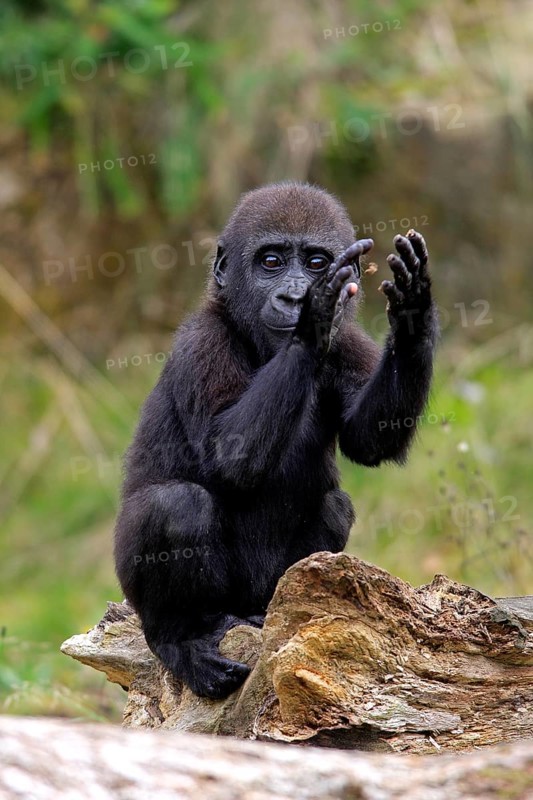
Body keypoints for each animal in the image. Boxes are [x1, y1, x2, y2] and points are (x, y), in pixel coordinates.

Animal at [114, 181, 438, 699]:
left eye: (315, 262)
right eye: (271, 262)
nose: (293, 294)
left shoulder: (348, 341)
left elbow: (370, 440)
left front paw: (413, 311)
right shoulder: (200, 340)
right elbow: (228, 453)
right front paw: (312, 316)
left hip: (262, 594)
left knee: (334, 506)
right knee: (175, 505)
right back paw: (180, 640)